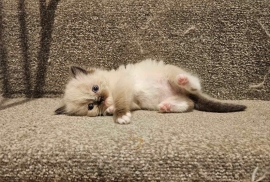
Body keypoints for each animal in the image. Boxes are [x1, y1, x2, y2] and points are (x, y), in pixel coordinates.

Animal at [55, 59, 247, 124]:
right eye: (90, 106)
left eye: (95, 88)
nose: (100, 99)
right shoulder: (132, 101)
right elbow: (117, 106)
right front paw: (110, 110)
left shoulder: (123, 86)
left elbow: (120, 103)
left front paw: (120, 116)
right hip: (169, 99)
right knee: (189, 103)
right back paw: (166, 107)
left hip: (172, 75)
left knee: (194, 85)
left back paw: (183, 80)